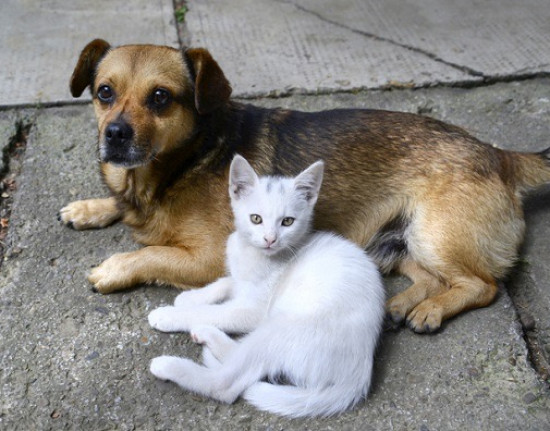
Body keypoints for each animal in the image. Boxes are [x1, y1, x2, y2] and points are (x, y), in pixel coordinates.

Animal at [59, 38, 550, 332]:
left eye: (160, 97)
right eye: (104, 92)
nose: (115, 135)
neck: (183, 163)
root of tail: (500, 154)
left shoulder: (209, 258)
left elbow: (151, 253)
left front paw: (114, 267)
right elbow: (120, 205)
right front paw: (89, 208)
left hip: (435, 235)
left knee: (482, 284)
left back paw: (430, 310)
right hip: (402, 243)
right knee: (432, 278)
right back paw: (402, 305)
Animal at [149, 155, 386, 418]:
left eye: (287, 222)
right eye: (256, 218)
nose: (270, 239)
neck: (254, 254)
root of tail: (358, 376)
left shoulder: (254, 310)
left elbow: (216, 311)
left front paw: (171, 314)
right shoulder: (240, 278)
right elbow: (227, 282)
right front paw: (191, 297)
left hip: (281, 326)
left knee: (227, 383)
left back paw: (170, 364)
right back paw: (207, 335)